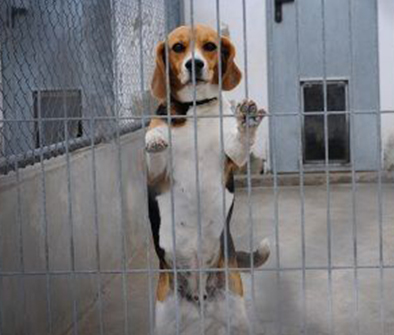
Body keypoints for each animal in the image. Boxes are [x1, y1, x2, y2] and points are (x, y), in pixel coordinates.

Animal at [146, 25, 270, 334]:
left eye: (210, 46)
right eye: (178, 48)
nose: (195, 64)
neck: (197, 108)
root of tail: (199, 297)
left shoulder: (232, 159)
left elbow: (240, 143)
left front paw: (247, 121)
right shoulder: (156, 176)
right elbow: (155, 135)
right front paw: (154, 136)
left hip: (237, 314)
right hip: (165, 319)